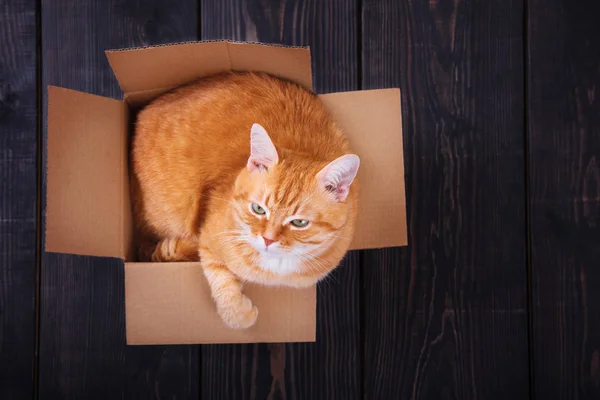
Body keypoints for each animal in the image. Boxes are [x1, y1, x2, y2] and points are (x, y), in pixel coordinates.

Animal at [131, 72, 358, 328]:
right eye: (258, 209)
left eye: (299, 223)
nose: (268, 239)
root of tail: (144, 111)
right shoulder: (209, 238)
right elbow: (220, 274)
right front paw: (239, 314)